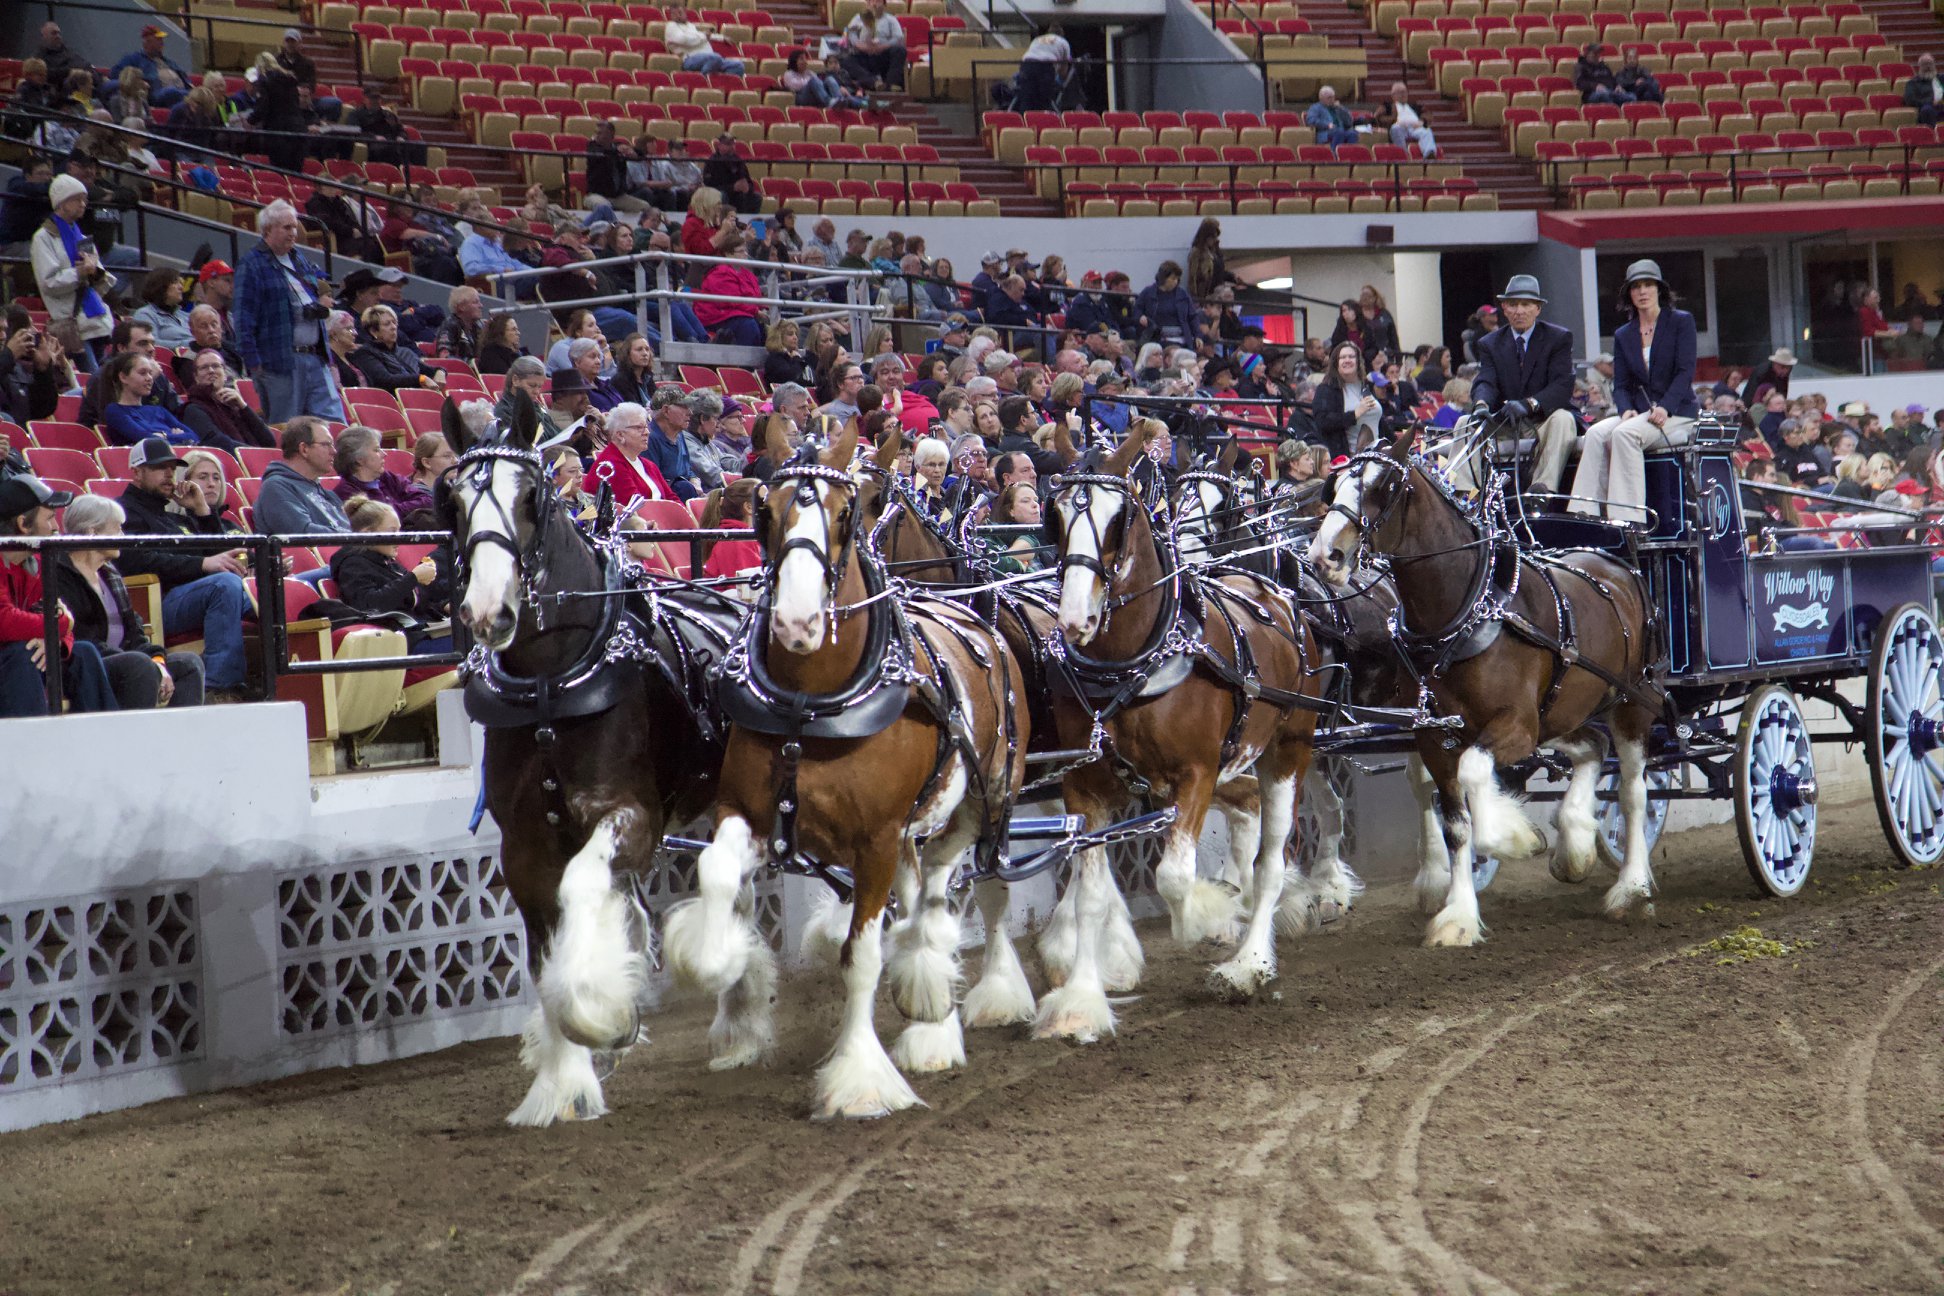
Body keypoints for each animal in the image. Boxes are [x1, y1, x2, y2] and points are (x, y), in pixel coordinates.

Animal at [660, 415, 1034, 1119]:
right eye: (764, 510)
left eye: (845, 513)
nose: (798, 621)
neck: (809, 705)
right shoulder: (746, 814)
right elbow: (717, 871)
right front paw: (718, 963)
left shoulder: (877, 840)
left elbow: (860, 957)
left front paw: (860, 1078)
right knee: (926, 895)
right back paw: (930, 1003)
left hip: (990, 796)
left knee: (986, 890)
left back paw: (980, 1000)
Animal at [1041, 415, 1329, 1025]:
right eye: (1054, 516)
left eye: (1119, 517)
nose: (1076, 619)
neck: (1131, 665)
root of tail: (1278, 593)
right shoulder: (1086, 788)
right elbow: (1089, 898)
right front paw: (1081, 1001)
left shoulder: (1194, 774)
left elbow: (1173, 878)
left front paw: (1210, 916)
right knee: (1247, 811)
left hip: (1289, 748)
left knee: (1272, 859)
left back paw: (1248, 960)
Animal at [1306, 431, 1656, 948]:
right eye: (1333, 488)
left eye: (1384, 487)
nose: (1323, 556)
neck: (1465, 612)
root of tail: (1615, 560)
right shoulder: (1435, 735)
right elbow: (1456, 824)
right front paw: (1459, 915)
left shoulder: (1513, 725)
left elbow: (1475, 779)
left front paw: (1512, 836)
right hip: (1559, 712)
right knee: (1593, 744)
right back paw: (1574, 843)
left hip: (1630, 703)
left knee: (1632, 791)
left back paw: (1630, 887)